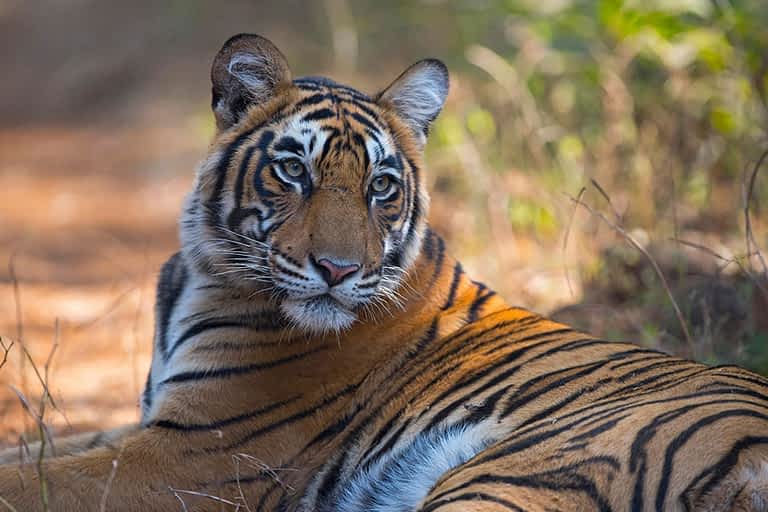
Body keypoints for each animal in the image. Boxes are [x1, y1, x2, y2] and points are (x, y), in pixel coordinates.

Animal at [0, 33, 767, 512]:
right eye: (294, 171)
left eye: (382, 187)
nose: (338, 270)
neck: (201, 269)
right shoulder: (148, 425)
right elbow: (27, 451)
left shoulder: (197, 456)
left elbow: (31, 482)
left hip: (518, 468)